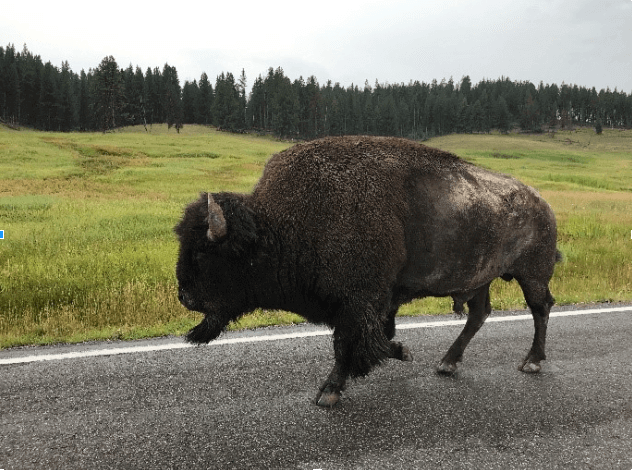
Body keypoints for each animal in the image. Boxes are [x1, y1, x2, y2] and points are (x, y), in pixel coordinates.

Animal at [172, 137, 556, 408]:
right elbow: (371, 339)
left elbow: (351, 344)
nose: (185, 296)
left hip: (532, 274)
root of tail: (541, 202)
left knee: (540, 308)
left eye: (204, 252)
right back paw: (447, 364)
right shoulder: (367, 304)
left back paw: (531, 362)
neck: (277, 227)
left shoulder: (357, 303)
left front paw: (329, 392)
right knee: (479, 314)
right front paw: (399, 352)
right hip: (479, 279)